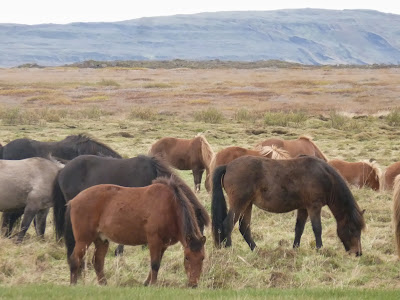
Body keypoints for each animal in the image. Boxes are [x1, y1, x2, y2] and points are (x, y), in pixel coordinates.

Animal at [65, 177, 206, 288]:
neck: (170, 206)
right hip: (83, 240)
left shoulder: (163, 245)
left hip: (101, 240)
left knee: (98, 262)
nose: (193, 284)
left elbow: (156, 263)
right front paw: (153, 285)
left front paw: (147, 283)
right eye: (187, 257)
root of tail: (73, 200)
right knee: (75, 259)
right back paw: (73, 284)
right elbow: (155, 264)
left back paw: (104, 284)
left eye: (202, 258)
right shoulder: (154, 240)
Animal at [212, 155, 366, 255]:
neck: (324, 176)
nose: (358, 253)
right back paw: (230, 249)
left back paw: (256, 249)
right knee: (228, 224)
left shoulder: (303, 208)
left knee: (244, 227)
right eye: (352, 229)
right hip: (239, 203)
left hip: (247, 204)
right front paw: (320, 249)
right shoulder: (314, 207)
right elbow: (317, 228)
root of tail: (228, 166)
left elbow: (299, 228)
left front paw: (295, 248)